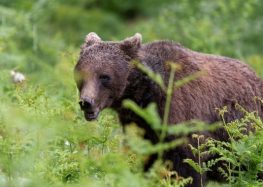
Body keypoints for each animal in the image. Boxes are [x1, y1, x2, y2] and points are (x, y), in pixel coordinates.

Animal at [75, 32, 263, 186]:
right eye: (81, 74)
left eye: (104, 76)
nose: (86, 102)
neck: (144, 96)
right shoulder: (139, 125)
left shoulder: (182, 118)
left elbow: (186, 168)